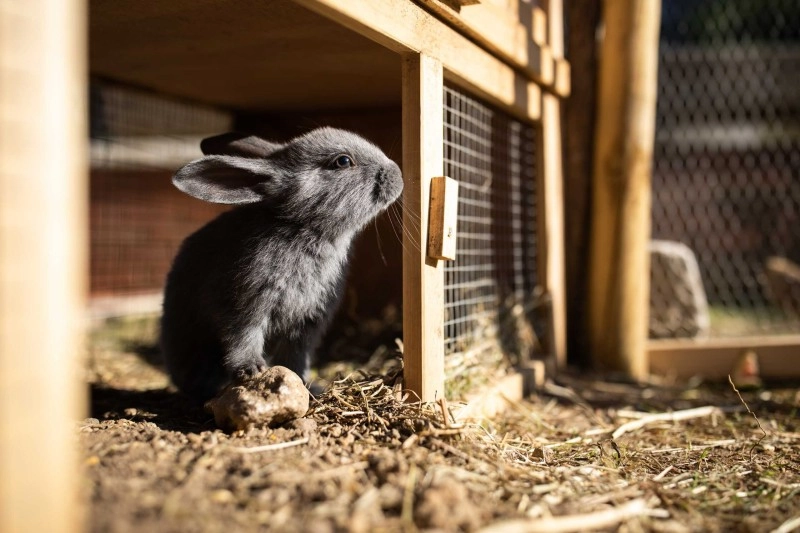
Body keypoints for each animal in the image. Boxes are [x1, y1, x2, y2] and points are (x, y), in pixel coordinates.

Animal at [160, 127, 404, 402]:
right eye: (342, 161)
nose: (398, 174)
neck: (305, 229)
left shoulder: (307, 326)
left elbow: (295, 358)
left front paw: (305, 385)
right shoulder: (244, 307)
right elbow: (242, 339)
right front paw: (252, 370)